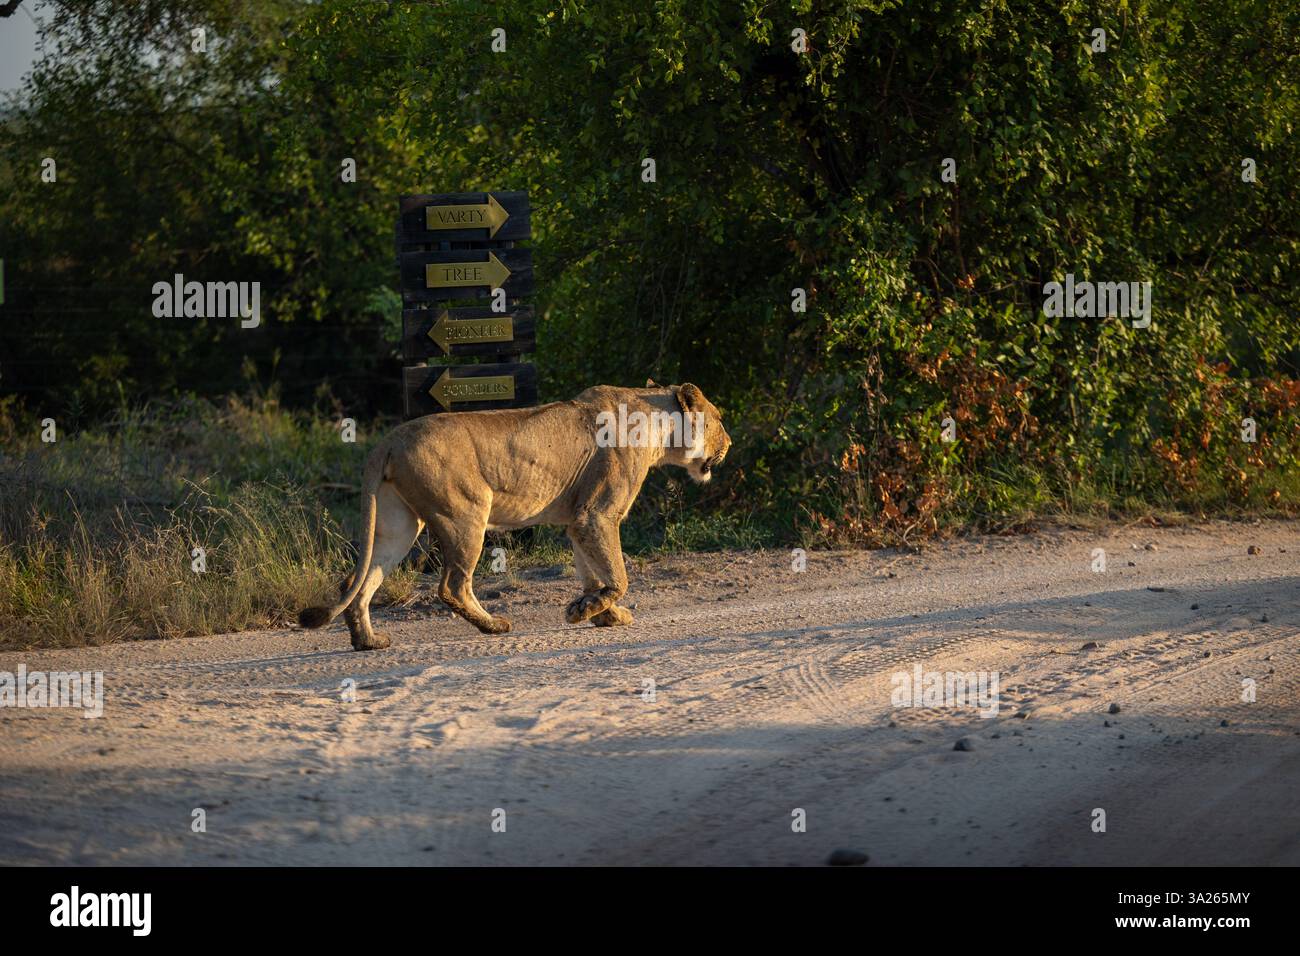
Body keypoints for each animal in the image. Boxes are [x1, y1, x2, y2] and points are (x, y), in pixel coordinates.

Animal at [298, 383, 731, 650]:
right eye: (720, 419)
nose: (729, 442)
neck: (656, 426)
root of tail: (387, 441)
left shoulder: (578, 520)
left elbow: (593, 571)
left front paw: (602, 613)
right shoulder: (596, 513)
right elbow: (618, 575)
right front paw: (590, 610)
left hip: (397, 524)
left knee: (358, 580)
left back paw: (367, 641)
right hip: (467, 512)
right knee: (452, 586)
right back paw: (493, 625)